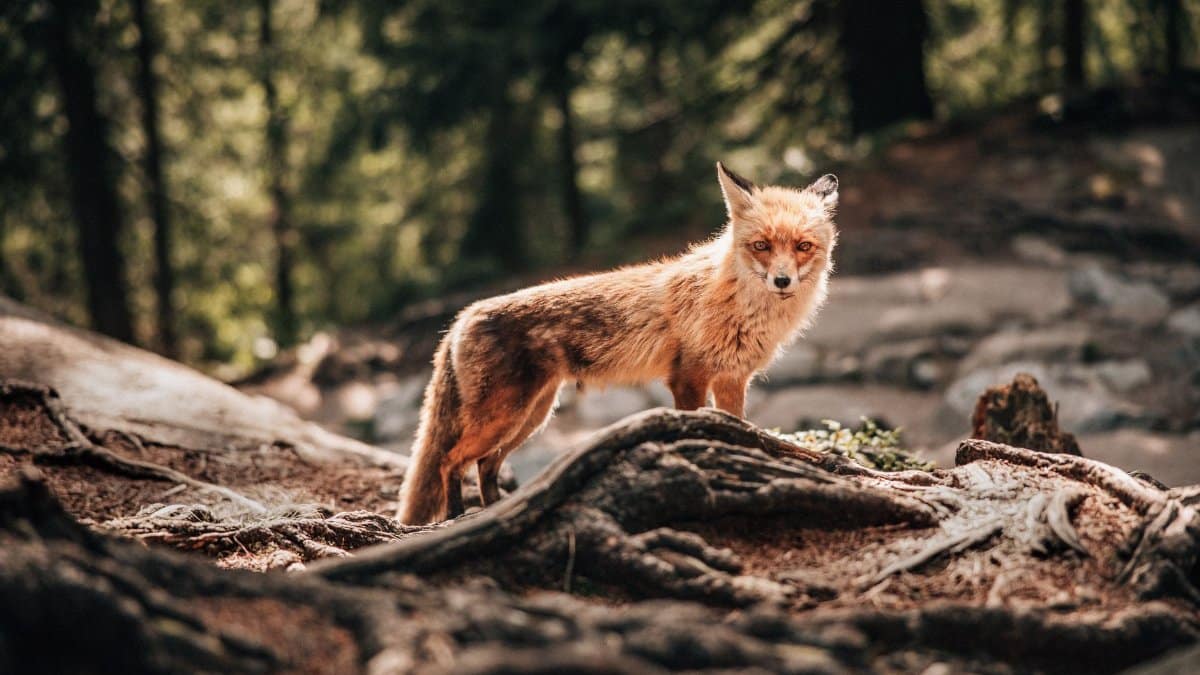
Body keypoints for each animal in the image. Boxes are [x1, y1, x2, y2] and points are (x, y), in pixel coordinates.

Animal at [398, 163, 839, 524]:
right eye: (761, 246)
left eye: (803, 246)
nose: (782, 281)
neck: (735, 305)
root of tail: (463, 315)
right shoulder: (688, 378)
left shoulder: (732, 379)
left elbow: (743, 430)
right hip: (504, 416)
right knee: (450, 461)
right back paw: (455, 516)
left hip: (530, 417)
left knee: (485, 466)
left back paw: (496, 512)